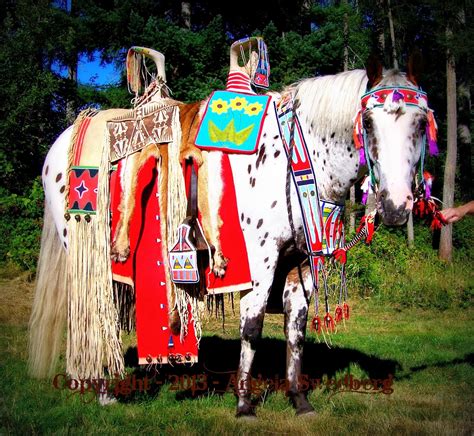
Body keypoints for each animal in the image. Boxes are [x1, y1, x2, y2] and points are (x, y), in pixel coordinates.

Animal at [30, 56, 430, 418]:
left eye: (423, 123)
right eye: (368, 121)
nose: (396, 206)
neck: (294, 158)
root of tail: (63, 142)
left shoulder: (298, 263)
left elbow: (296, 329)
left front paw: (299, 400)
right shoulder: (260, 264)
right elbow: (251, 328)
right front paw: (243, 404)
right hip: (88, 257)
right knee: (96, 319)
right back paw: (104, 393)